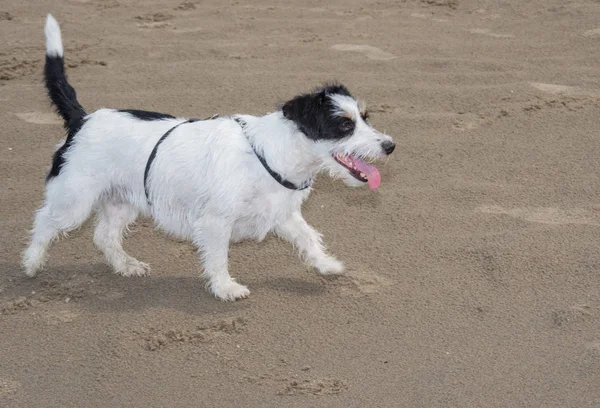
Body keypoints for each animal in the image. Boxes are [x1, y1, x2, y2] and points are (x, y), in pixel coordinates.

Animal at [23, 14, 396, 302]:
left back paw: (126, 265)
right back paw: (31, 262)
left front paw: (326, 265)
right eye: (344, 125)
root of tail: (83, 119)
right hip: (74, 201)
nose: (390, 145)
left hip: (121, 201)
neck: (271, 153)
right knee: (45, 221)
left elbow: (307, 237)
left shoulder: (283, 214)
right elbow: (218, 257)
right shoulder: (216, 222)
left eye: (365, 117)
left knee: (104, 236)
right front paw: (226, 288)